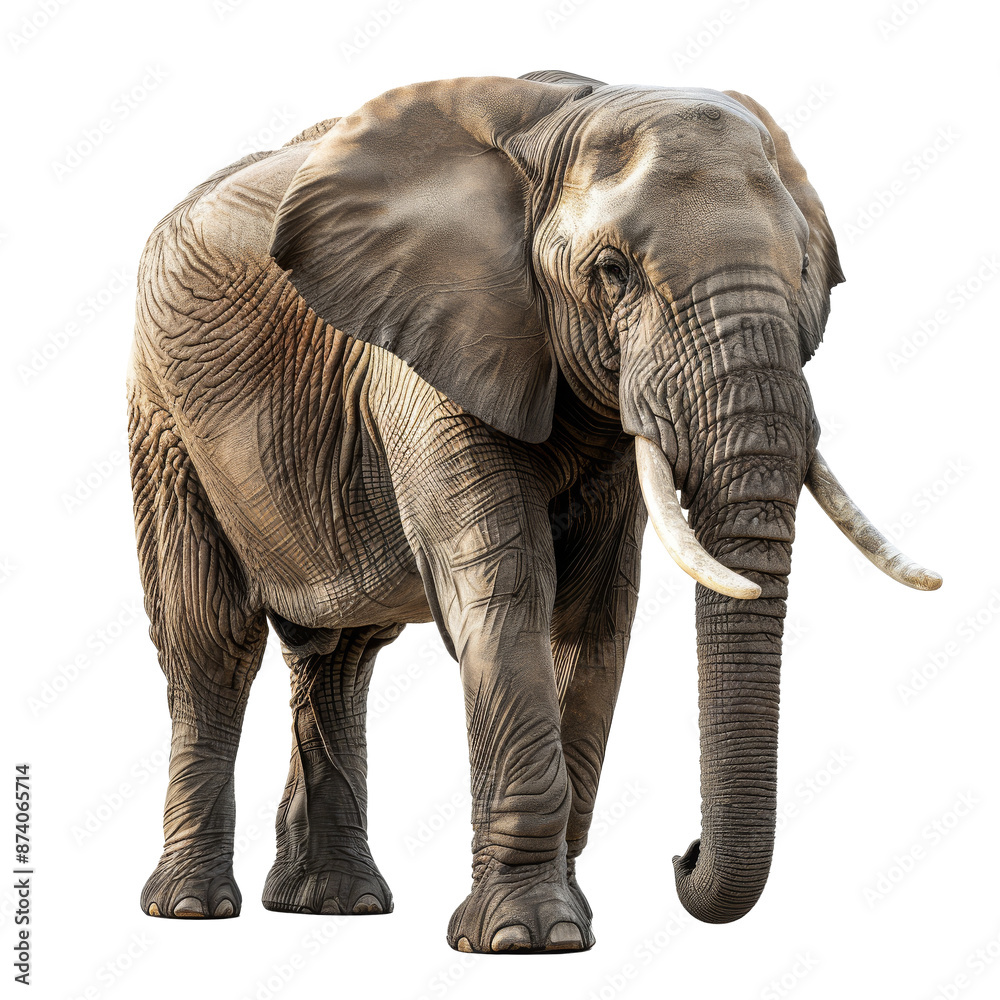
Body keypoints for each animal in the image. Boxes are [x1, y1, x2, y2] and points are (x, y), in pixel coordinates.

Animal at [127, 69, 941, 953]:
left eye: (804, 270)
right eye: (613, 272)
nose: (683, 855)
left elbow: (594, 616)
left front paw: (568, 920)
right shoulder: (429, 344)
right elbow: (507, 592)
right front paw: (526, 939)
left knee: (341, 653)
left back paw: (336, 904)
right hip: (163, 416)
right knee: (211, 641)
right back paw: (191, 908)